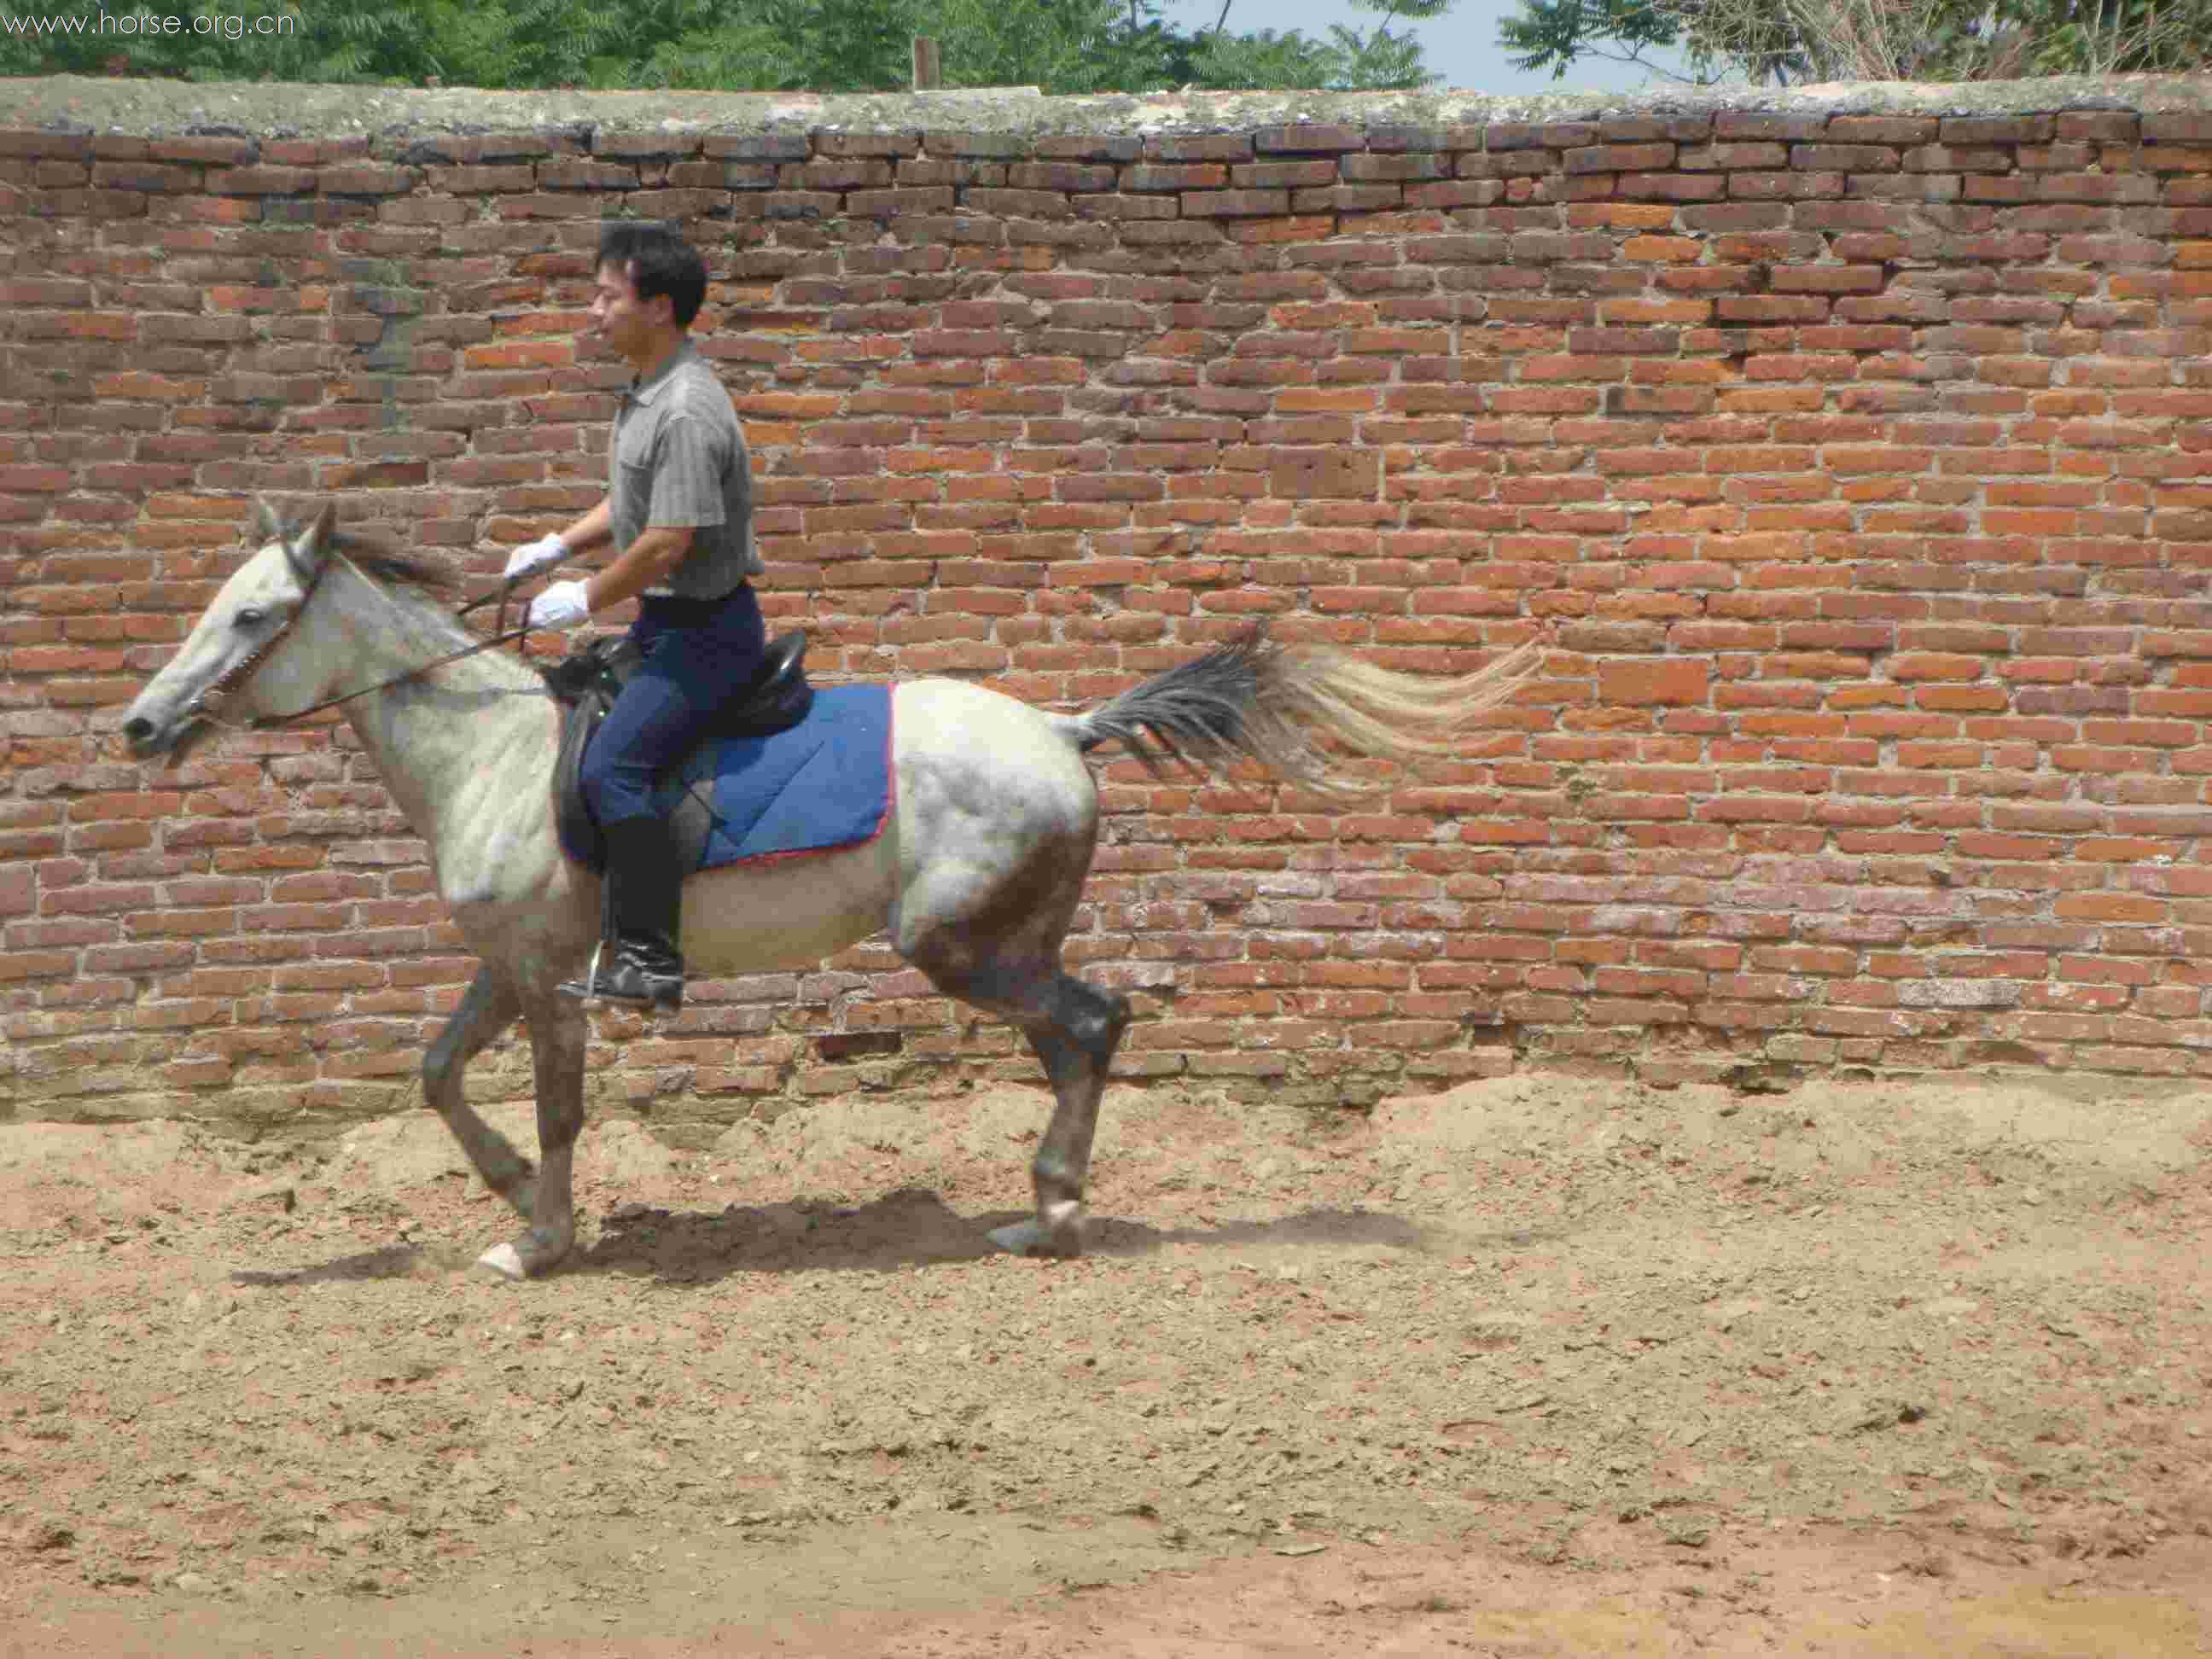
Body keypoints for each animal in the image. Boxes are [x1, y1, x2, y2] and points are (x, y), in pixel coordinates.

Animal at [120, 499, 1540, 1283]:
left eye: (251, 617)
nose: (141, 726)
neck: (496, 750)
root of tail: (1062, 730)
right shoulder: (506, 963)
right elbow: (435, 1075)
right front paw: (516, 1197)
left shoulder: (555, 980)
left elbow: (561, 1109)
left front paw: (542, 1238)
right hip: (1000, 946)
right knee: (1078, 1039)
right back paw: (1046, 1207)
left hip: (961, 949)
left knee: (1096, 1025)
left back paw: (1052, 1214)